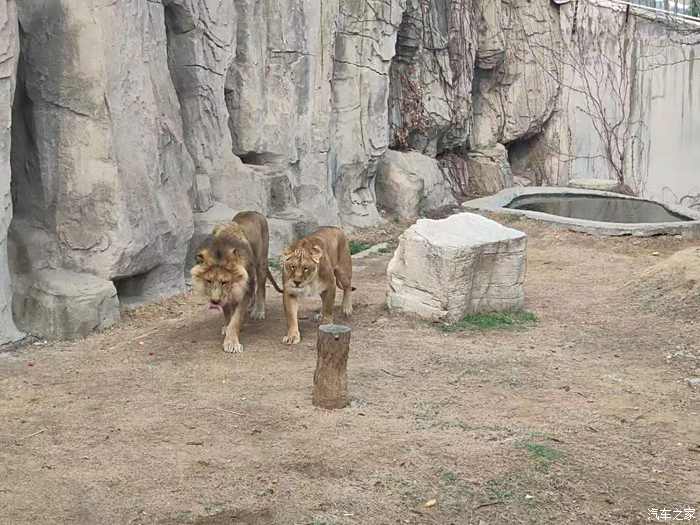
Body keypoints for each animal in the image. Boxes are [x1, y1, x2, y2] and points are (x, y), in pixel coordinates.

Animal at [191, 210, 282, 352]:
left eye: (224, 282)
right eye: (209, 281)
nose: (215, 301)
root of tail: (253, 211)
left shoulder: (244, 290)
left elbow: (236, 318)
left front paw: (232, 342)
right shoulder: (227, 295)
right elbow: (228, 314)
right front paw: (227, 327)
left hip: (261, 262)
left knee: (261, 286)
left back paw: (258, 311)